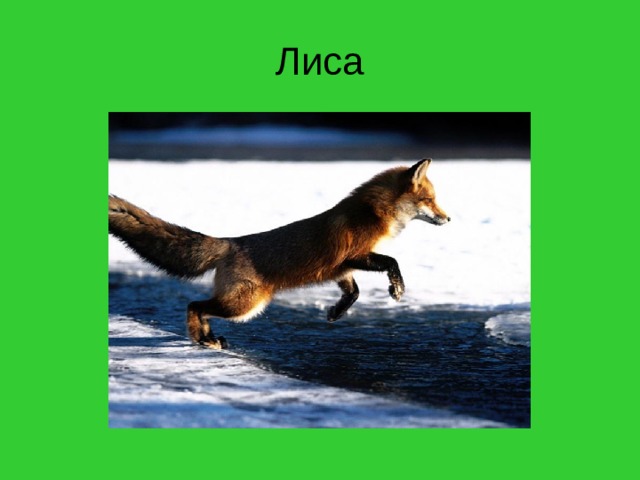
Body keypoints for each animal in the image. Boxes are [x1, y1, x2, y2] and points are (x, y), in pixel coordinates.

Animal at [108, 158, 450, 349]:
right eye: (430, 200)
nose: (448, 219)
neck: (374, 212)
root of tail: (231, 241)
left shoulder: (341, 270)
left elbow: (353, 293)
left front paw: (335, 313)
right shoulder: (352, 256)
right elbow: (392, 262)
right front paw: (397, 289)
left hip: (242, 305)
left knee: (199, 307)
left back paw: (207, 337)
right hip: (245, 305)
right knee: (195, 304)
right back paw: (204, 337)